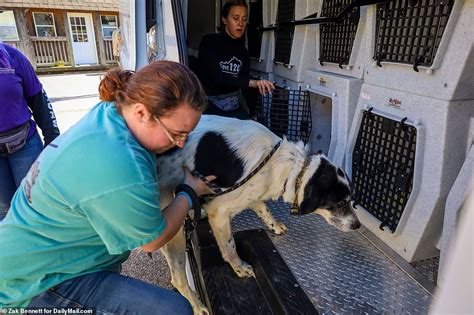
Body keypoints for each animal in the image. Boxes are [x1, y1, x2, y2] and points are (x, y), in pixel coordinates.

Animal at [156, 116, 360, 315]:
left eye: (351, 200)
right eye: (340, 203)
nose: (357, 225)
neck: (287, 165)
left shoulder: (251, 194)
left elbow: (264, 209)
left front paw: (275, 225)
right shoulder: (219, 210)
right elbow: (229, 246)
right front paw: (239, 267)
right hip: (172, 229)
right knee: (178, 279)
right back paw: (198, 307)